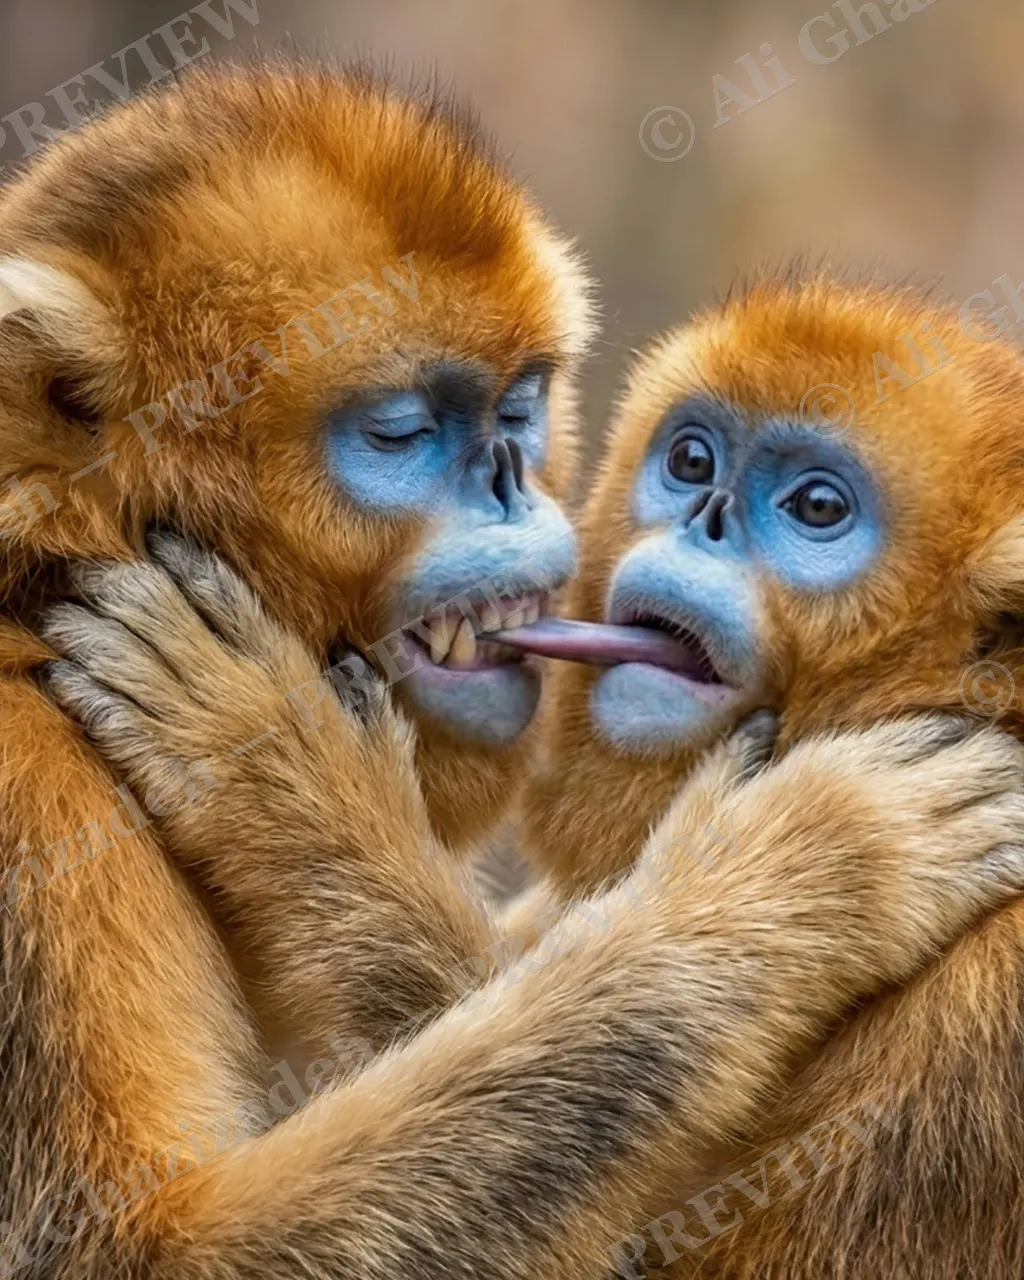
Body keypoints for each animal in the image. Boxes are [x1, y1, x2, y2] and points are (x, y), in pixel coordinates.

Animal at [2, 52, 1023, 1279]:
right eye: (401, 433)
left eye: (517, 408)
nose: (508, 475)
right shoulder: (30, 791)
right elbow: (143, 1253)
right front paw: (821, 860)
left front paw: (279, 776)